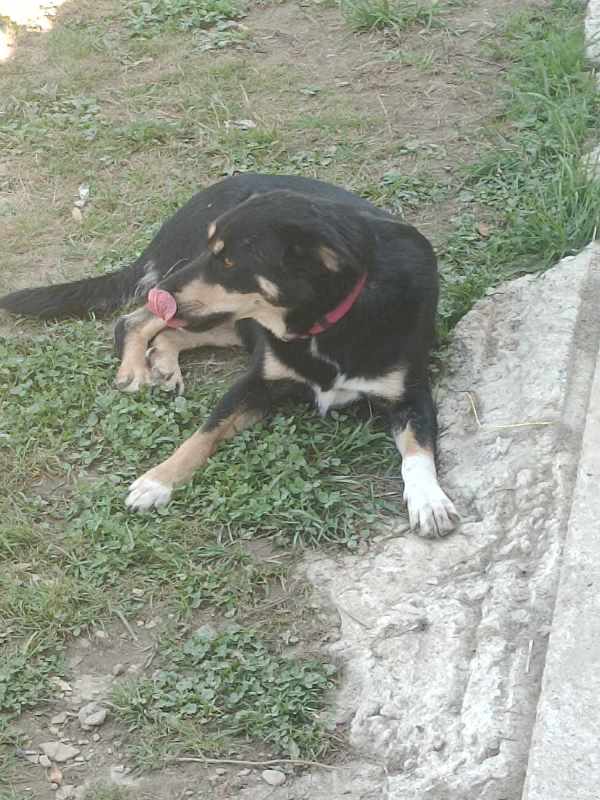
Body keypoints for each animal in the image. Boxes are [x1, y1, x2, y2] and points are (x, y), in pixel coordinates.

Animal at [0, 175, 460, 536]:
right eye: (213, 251)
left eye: (229, 261)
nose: (161, 290)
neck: (327, 324)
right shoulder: (253, 384)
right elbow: (200, 436)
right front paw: (156, 480)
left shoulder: (411, 394)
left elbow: (417, 453)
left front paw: (429, 501)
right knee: (134, 320)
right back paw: (135, 368)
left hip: (217, 316)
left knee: (161, 329)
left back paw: (161, 362)